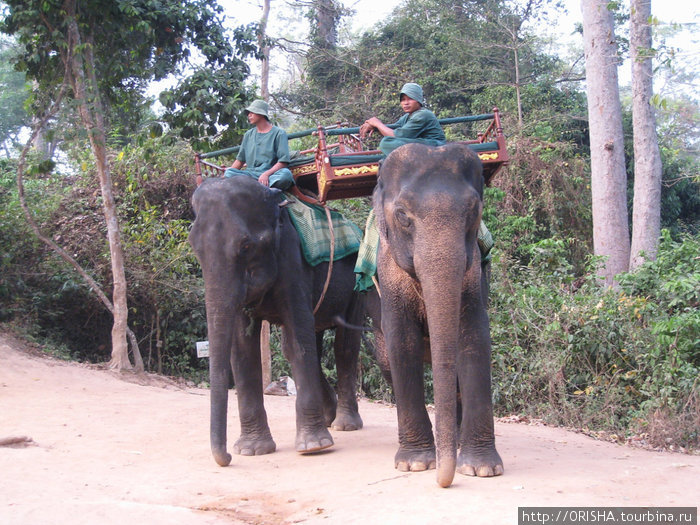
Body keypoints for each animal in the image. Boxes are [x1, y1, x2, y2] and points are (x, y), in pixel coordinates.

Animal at [190, 176, 366, 466]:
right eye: (195, 248)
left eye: (246, 246)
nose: (226, 457)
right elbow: (243, 347)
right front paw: (251, 450)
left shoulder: (292, 259)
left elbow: (298, 337)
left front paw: (313, 447)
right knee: (309, 343)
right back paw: (329, 418)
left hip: (358, 282)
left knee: (344, 346)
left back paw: (345, 425)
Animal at [372, 141, 504, 486]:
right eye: (403, 216)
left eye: (474, 212)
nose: (444, 482)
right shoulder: (388, 270)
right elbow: (401, 342)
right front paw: (416, 463)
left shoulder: (473, 272)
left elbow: (475, 338)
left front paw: (481, 469)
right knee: (388, 365)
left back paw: (455, 443)